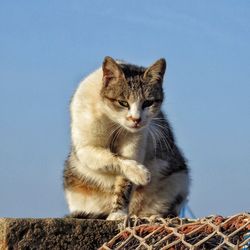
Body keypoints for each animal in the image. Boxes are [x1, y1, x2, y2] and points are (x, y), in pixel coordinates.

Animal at [64, 55, 189, 220]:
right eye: (123, 102)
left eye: (148, 103)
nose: (136, 119)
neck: (113, 123)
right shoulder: (86, 148)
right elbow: (113, 158)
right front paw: (141, 173)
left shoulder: (135, 146)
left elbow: (124, 183)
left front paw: (118, 213)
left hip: (178, 180)